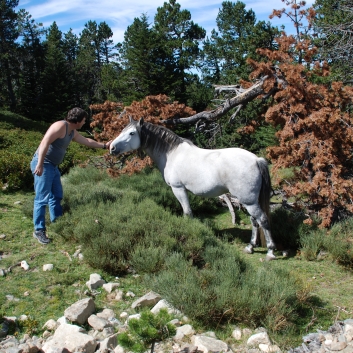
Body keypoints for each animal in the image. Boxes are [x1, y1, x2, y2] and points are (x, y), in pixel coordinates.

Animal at [108, 118, 276, 258]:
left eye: (131, 133)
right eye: (122, 130)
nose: (111, 148)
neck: (171, 154)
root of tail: (256, 160)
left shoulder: (178, 189)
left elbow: (187, 212)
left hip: (249, 202)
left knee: (263, 220)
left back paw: (270, 251)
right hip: (249, 201)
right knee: (254, 221)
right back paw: (250, 247)